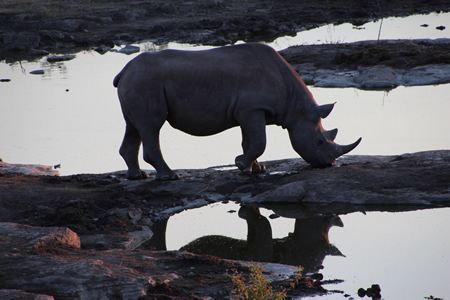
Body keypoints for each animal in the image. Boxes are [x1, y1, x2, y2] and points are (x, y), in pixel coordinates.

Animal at [113, 43, 362, 179]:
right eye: (319, 142)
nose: (328, 164)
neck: (295, 107)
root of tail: (124, 71)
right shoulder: (253, 109)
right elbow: (260, 141)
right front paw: (242, 165)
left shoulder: (247, 111)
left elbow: (249, 140)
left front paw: (256, 169)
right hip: (146, 82)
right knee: (152, 126)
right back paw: (170, 176)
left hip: (138, 81)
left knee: (133, 126)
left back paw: (138, 176)